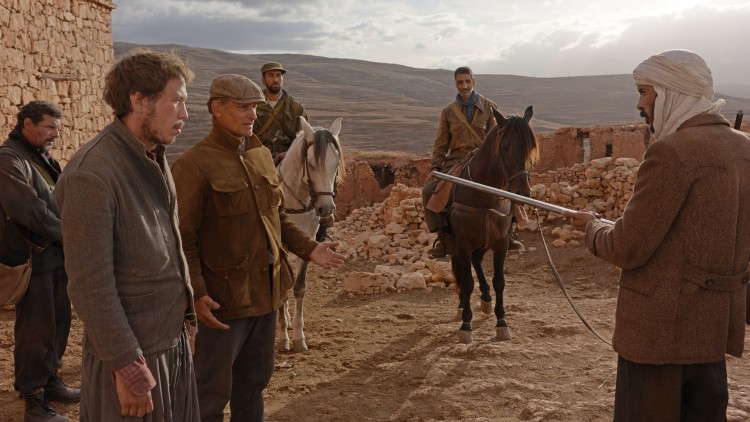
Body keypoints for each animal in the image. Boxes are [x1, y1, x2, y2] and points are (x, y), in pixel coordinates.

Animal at [278, 116, 346, 352]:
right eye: (312, 163)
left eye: (336, 164)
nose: (326, 209)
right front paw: (283, 338)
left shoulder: (307, 245)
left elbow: (299, 288)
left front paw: (299, 337)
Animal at [446, 105, 540, 342]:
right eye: (504, 147)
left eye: (530, 148)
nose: (522, 193)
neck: (485, 193)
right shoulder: (463, 242)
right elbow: (467, 282)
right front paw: (466, 325)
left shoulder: (501, 242)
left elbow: (499, 281)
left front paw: (502, 322)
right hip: (457, 243)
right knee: (463, 270)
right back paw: (462, 307)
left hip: (483, 241)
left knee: (477, 261)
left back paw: (486, 299)